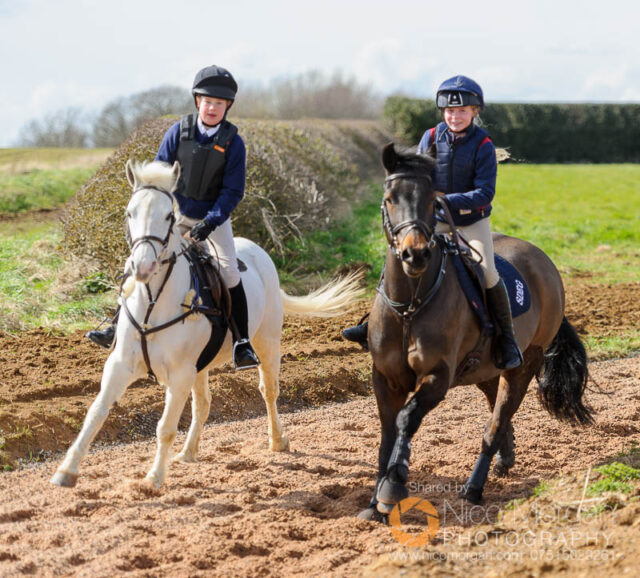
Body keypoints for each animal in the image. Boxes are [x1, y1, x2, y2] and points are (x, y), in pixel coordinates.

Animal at [51, 160, 362, 489]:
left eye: (168, 215)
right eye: (129, 212)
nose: (143, 266)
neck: (154, 304)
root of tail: (258, 251)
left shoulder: (179, 374)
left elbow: (165, 427)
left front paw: (154, 478)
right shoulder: (122, 364)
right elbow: (96, 412)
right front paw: (66, 470)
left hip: (267, 344)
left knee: (268, 391)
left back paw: (278, 441)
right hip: (201, 366)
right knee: (203, 404)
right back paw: (188, 453)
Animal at [359, 143, 592, 521]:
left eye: (432, 200)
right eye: (389, 198)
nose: (415, 254)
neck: (410, 303)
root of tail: (545, 263)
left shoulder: (437, 377)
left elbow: (406, 420)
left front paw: (392, 490)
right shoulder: (385, 378)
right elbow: (386, 434)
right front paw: (373, 504)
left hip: (524, 365)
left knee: (497, 421)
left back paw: (474, 487)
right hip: (486, 368)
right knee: (496, 408)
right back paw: (505, 459)